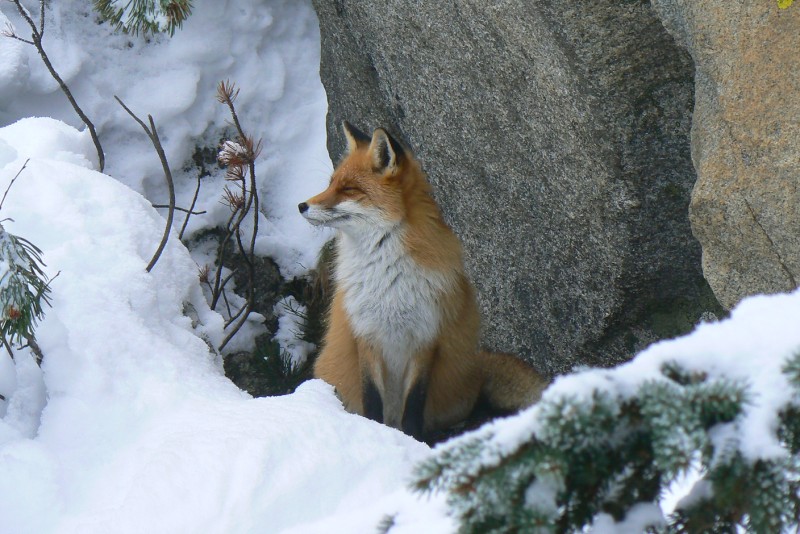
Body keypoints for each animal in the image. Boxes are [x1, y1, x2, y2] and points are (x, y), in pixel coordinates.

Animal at [296, 123, 548, 442]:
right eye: (330, 184)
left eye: (348, 189)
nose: (301, 205)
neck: (385, 274)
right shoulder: (366, 333)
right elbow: (372, 400)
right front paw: (374, 433)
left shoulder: (426, 336)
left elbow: (414, 405)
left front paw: (412, 440)